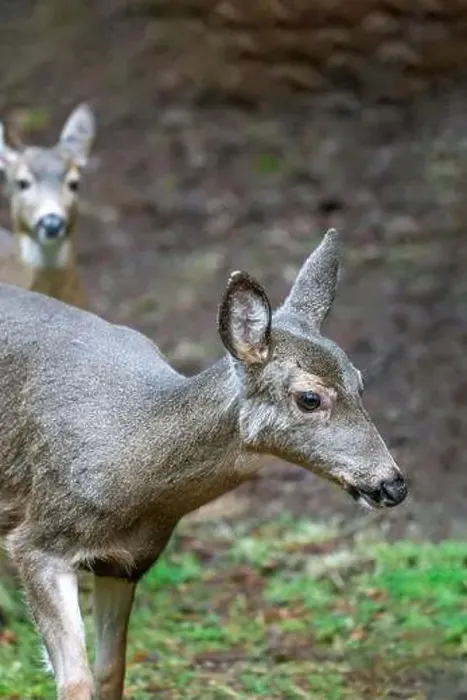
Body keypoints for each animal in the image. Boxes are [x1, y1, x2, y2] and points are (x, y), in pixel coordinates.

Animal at [0, 228, 407, 700]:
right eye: (310, 398)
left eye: (359, 383)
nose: (393, 484)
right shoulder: (38, 542)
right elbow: (76, 680)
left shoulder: (128, 562)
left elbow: (111, 670)